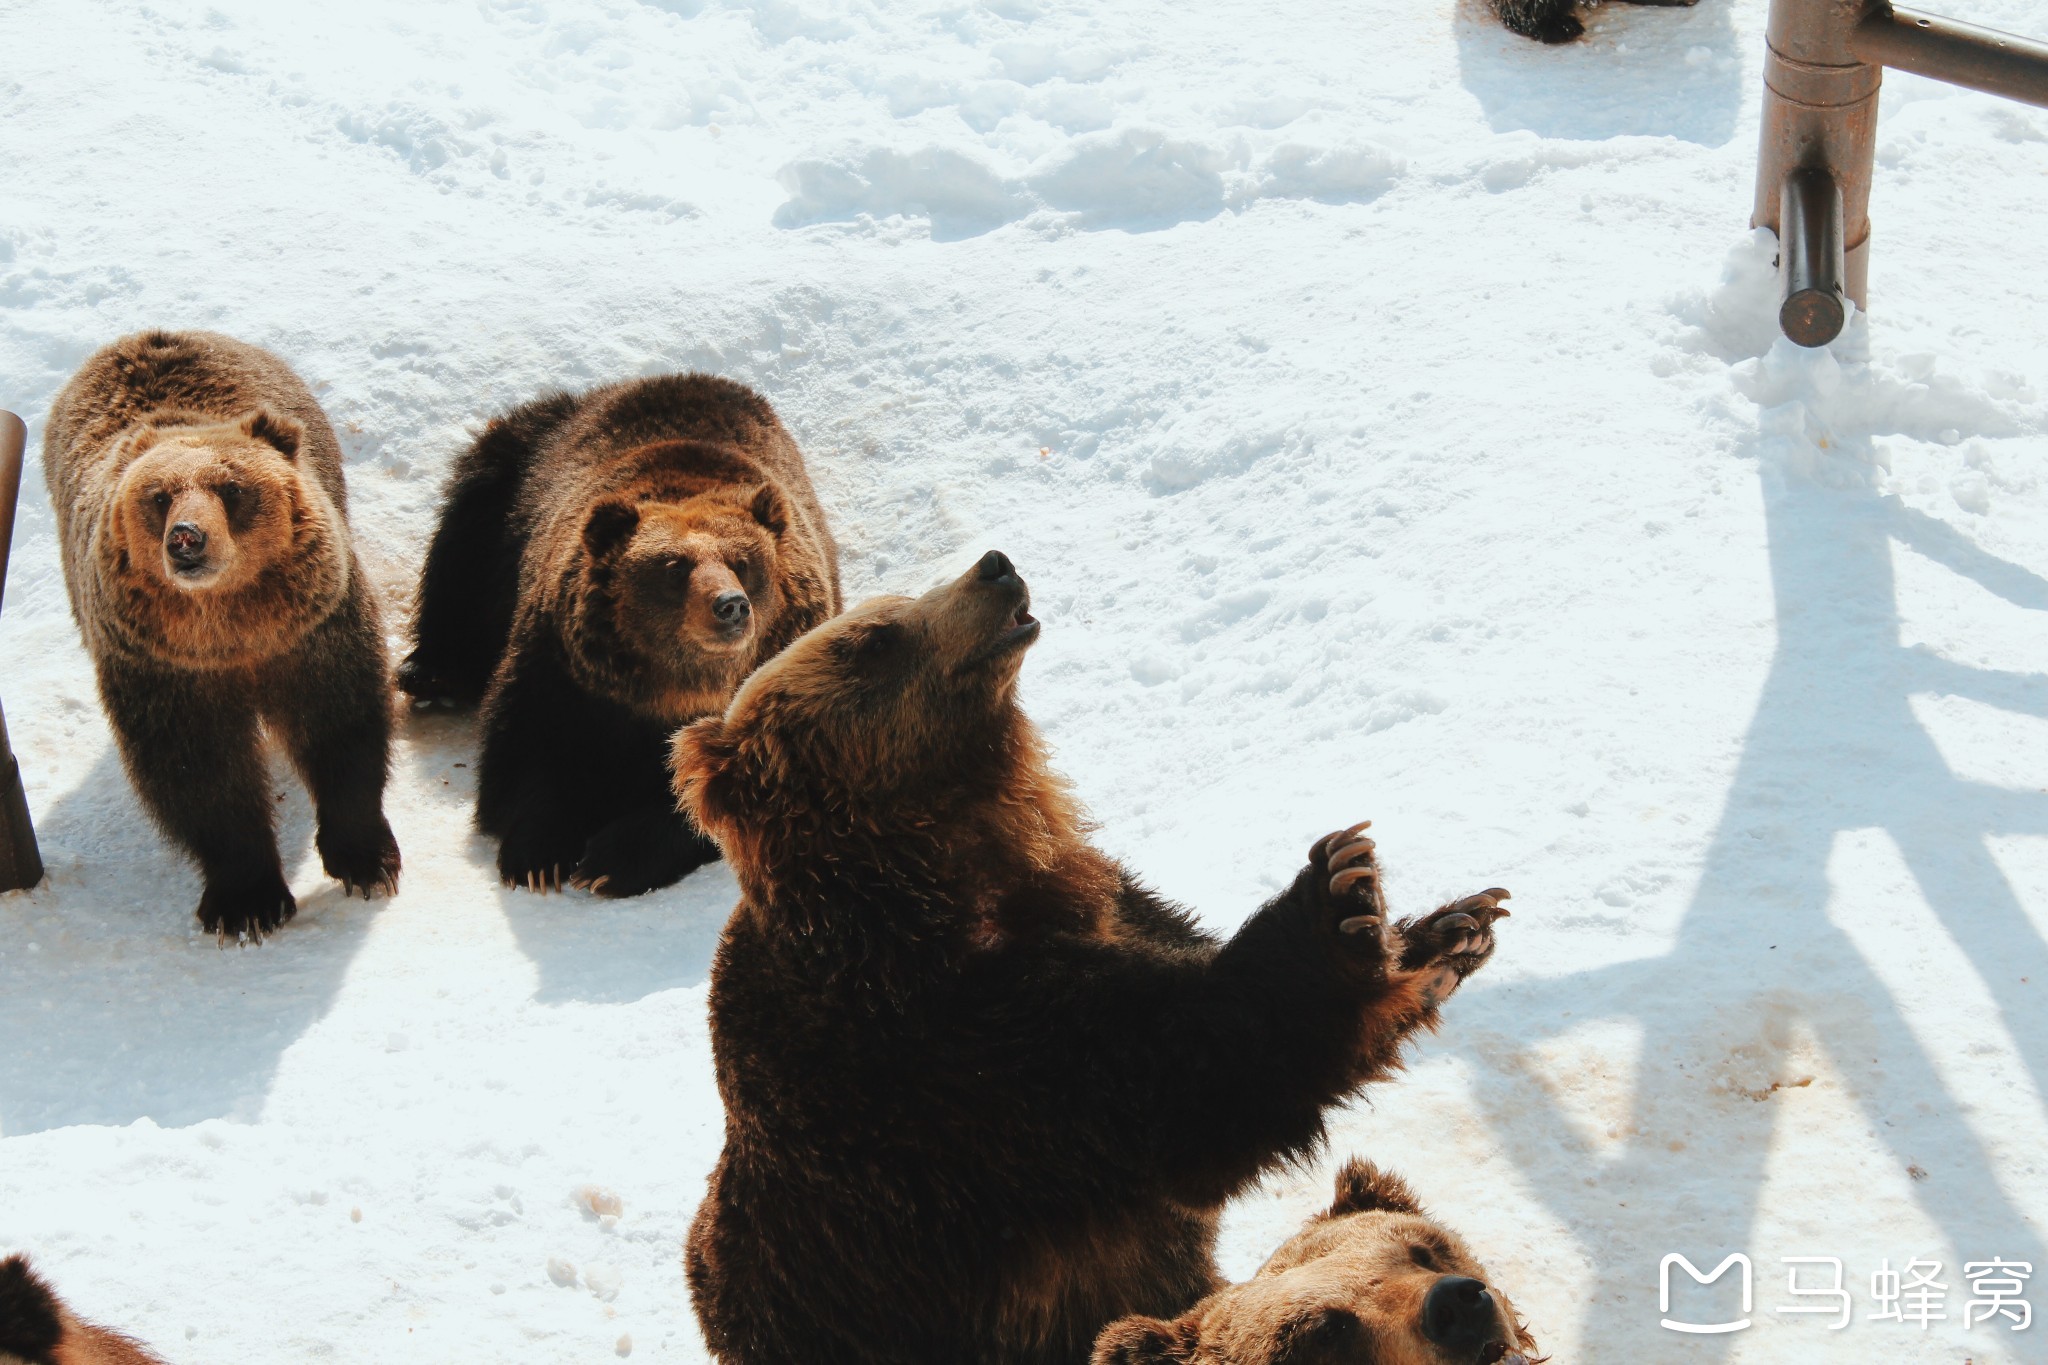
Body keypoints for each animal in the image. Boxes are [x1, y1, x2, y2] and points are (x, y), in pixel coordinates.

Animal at [45, 327, 399, 941]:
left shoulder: (310, 631)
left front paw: (366, 859)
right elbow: (201, 775)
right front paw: (247, 900)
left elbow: (340, 721)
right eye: (159, 495)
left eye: (231, 487)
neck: (233, 630)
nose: (187, 538)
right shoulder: (165, 667)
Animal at [399, 378, 839, 900]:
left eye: (744, 562)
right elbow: (522, 753)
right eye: (674, 567)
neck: (676, 691)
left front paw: (610, 860)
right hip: (514, 479)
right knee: (461, 539)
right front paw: (539, 855)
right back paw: (429, 674)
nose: (730, 605)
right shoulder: (564, 670)